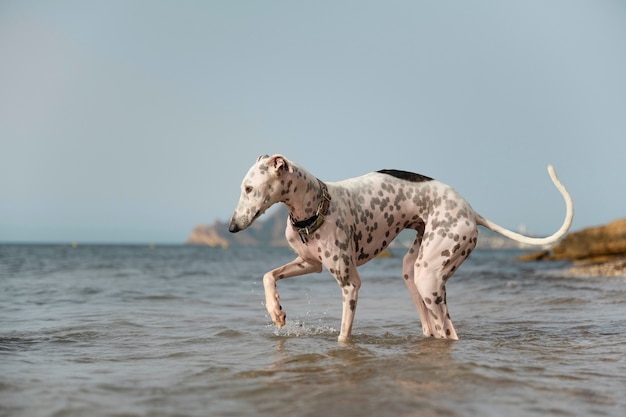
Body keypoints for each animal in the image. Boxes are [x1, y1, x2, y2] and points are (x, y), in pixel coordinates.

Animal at [228, 154, 572, 340]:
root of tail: (470, 210)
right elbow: (268, 275)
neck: (315, 206)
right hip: (413, 272)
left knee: (449, 332)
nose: (232, 227)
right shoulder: (309, 264)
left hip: (429, 276)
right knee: (434, 329)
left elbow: (343, 336)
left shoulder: (350, 284)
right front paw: (276, 312)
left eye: (249, 188)